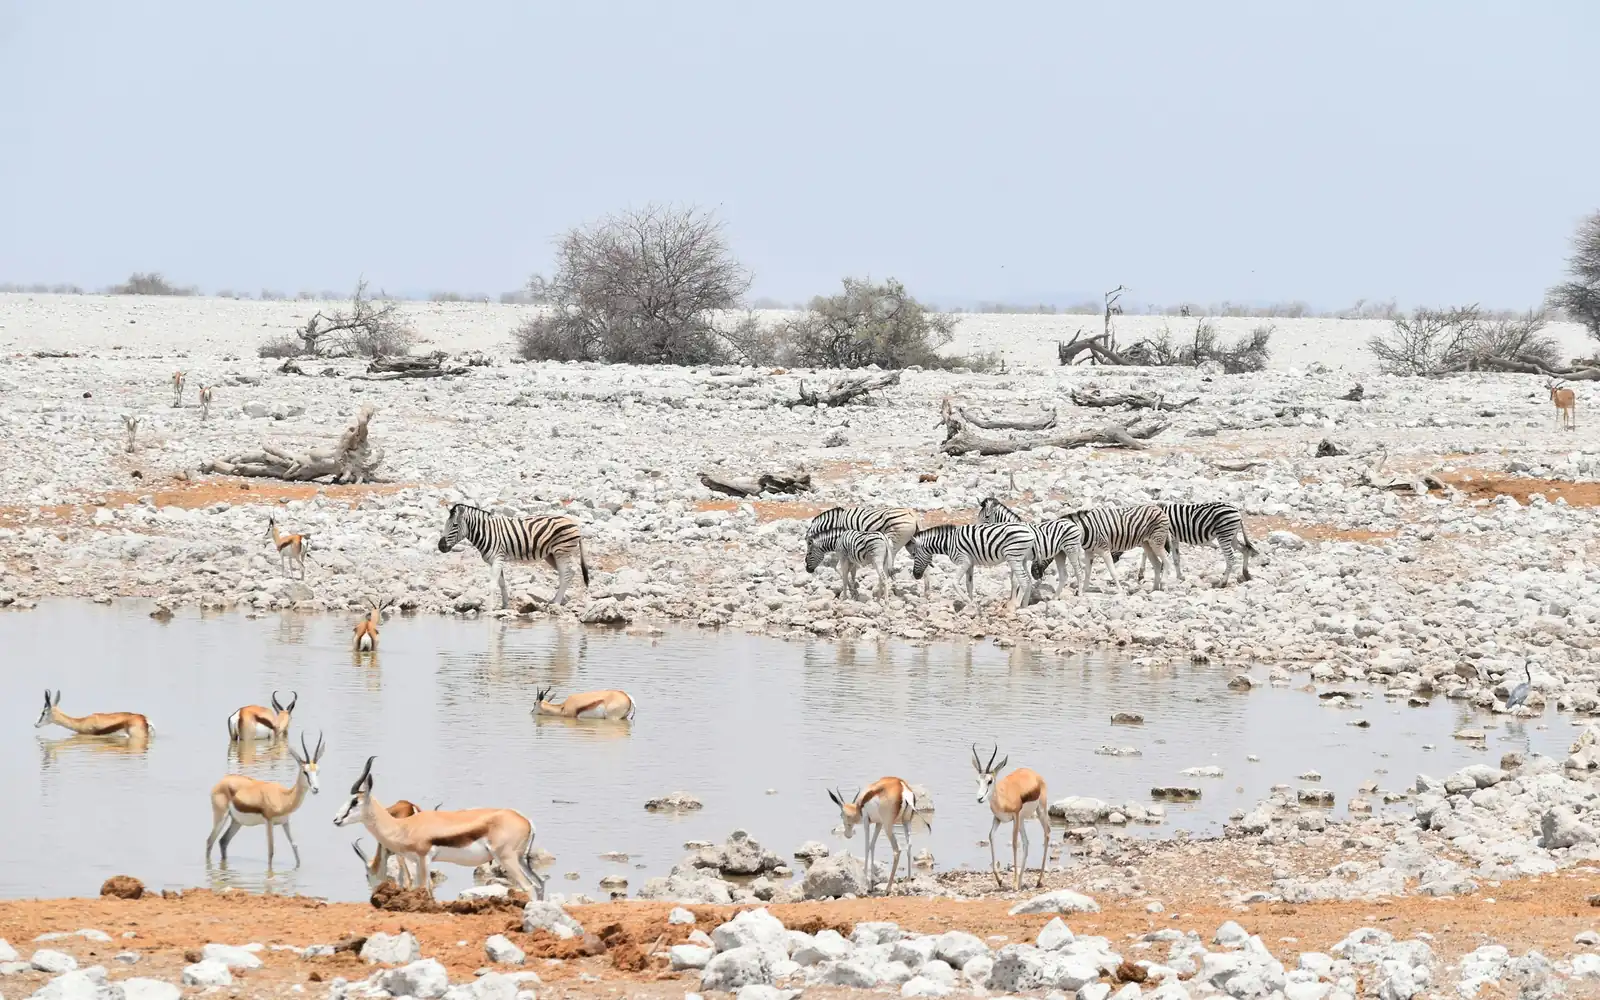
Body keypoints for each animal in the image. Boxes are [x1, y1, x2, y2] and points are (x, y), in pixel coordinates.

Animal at [437, 503, 590, 608]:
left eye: (455, 525)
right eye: (445, 524)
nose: (440, 546)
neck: (486, 532)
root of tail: (574, 523)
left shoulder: (498, 558)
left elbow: (493, 585)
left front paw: (489, 608)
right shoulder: (495, 561)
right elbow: (501, 583)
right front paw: (505, 605)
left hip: (562, 552)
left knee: (567, 574)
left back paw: (556, 603)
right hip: (552, 555)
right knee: (567, 573)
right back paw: (554, 600)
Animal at [904, 523, 1036, 610]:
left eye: (914, 555)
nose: (916, 576)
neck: (947, 543)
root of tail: (1031, 532)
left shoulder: (964, 561)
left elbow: (954, 582)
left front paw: (968, 601)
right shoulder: (970, 563)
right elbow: (969, 584)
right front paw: (972, 604)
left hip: (1013, 557)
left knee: (1024, 580)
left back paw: (1016, 605)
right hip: (1022, 559)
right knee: (1029, 580)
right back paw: (1025, 606)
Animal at [1125, 501, 1257, 587]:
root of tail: (1237, 511)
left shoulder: (1165, 537)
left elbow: (1147, 554)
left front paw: (1142, 573)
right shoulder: (1173, 539)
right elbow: (1176, 558)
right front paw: (1180, 576)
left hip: (1224, 535)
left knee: (1230, 558)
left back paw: (1223, 583)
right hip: (1232, 536)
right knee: (1245, 549)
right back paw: (1246, 574)